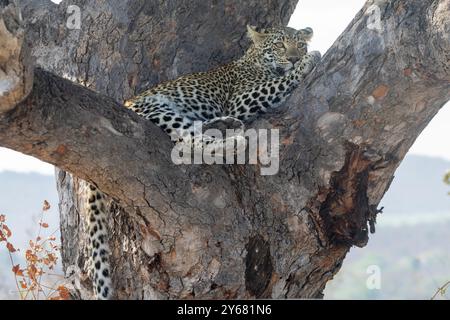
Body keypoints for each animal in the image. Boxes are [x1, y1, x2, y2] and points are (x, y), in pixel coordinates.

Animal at [84, 23, 322, 298]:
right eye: (280, 45)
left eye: (299, 44)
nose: (294, 57)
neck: (255, 60)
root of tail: (125, 102)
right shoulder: (240, 100)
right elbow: (278, 82)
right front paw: (309, 60)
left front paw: (306, 58)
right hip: (156, 110)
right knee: (189, 139)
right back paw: (232, 141)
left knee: (197, 131)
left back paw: (224, 125)